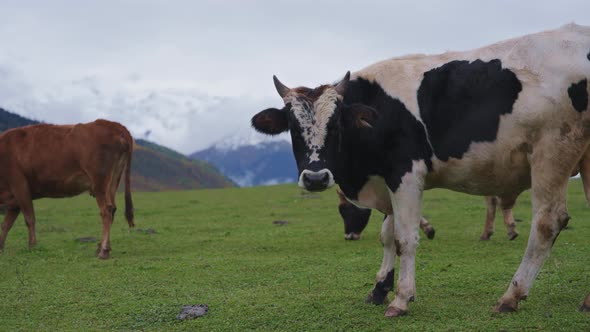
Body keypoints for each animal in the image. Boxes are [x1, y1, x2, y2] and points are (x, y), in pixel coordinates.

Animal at [0, 119, 135, 260]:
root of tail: (114, 124)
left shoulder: (19, 185)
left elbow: (29, 219)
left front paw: (32, 246)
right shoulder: (14, 201)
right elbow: (6, 225)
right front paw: (1, 248)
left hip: (99, 182)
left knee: (106, 210)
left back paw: (103, 251)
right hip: (113, 181)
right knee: (112, 209)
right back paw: (100, 247)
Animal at [253, 24, 590, 316]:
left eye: (335, 124)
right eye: (292, 127)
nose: (315, 178)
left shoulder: (405, 174)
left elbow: (404, 238)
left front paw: (401, 299)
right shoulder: (389, 180)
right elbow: (387, 235)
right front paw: (379, 288)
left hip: (552, 151)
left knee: (547, 223)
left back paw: (511, 296)